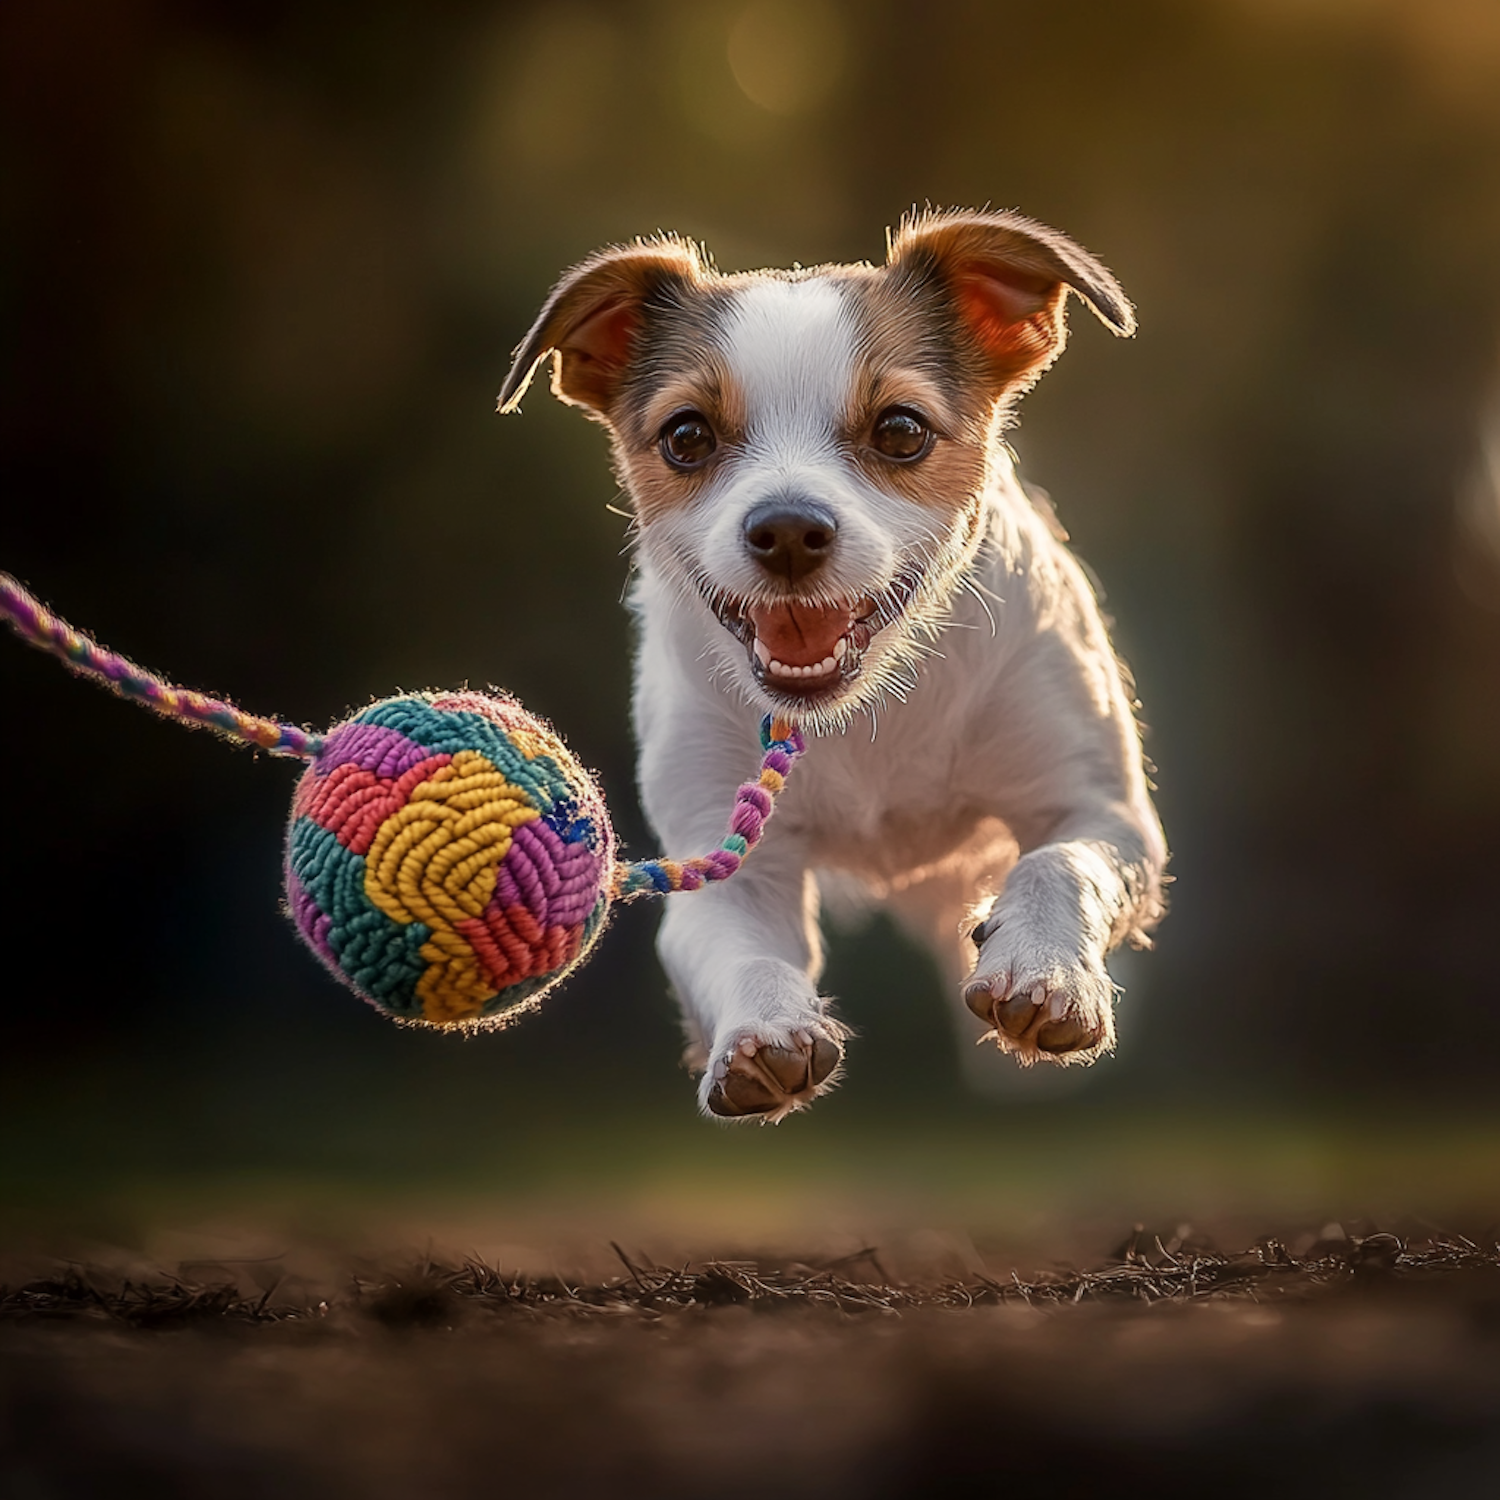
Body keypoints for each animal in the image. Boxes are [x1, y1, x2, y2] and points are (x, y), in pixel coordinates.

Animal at [498, 214, 1164, 1128]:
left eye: (901, 430)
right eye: (686, 437)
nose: (785, 528)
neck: (869, 705)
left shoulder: (1103, 811)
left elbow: (1055, 865)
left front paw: (1048, 974)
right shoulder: (723, 864)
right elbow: (742, 949)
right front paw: (761, 1034)